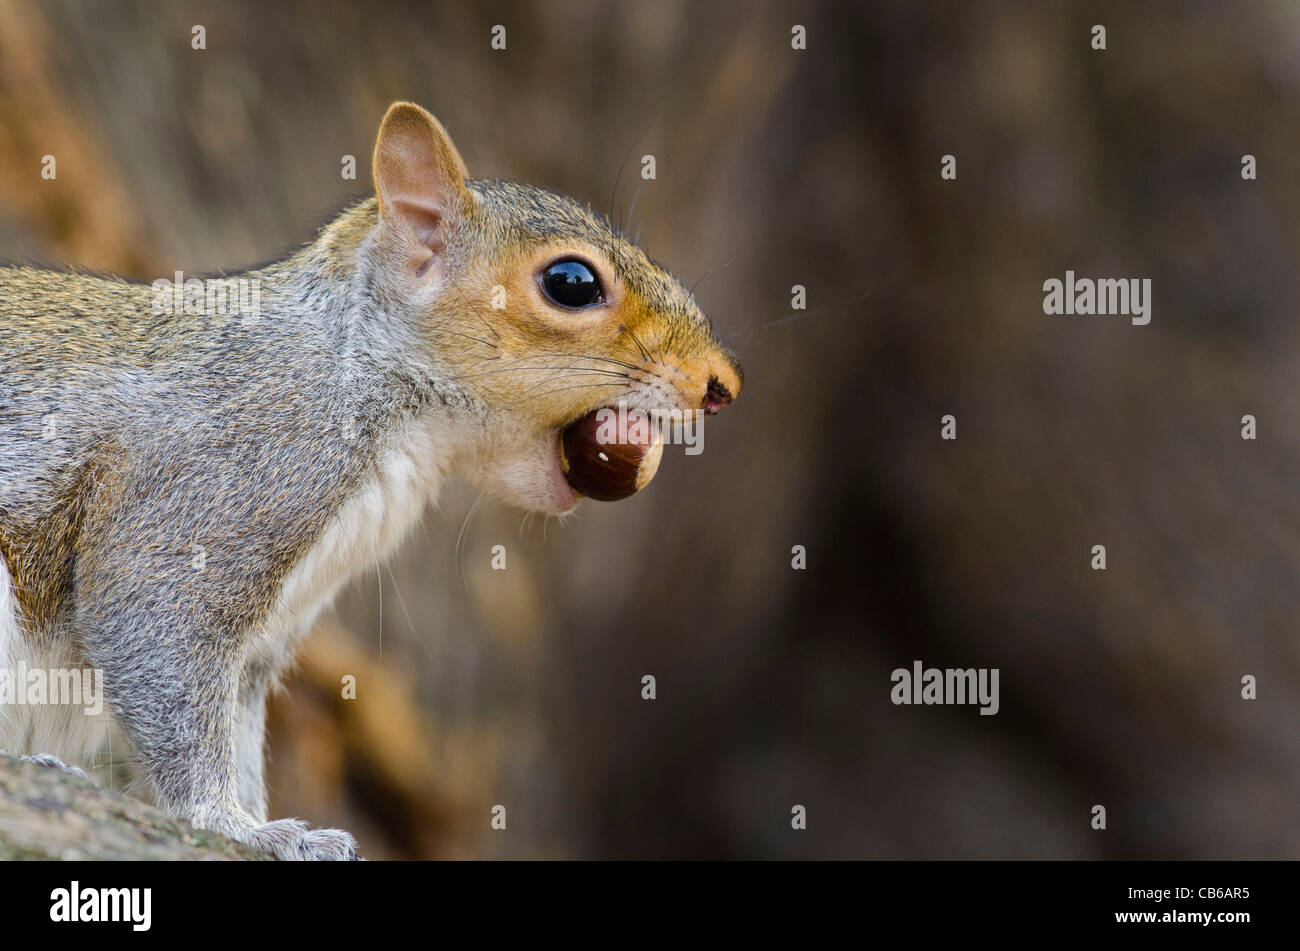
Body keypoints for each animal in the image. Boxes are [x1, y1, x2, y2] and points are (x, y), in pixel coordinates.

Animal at [0, 103, 743, 862]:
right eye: (571, 283)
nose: (723, 387)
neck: (373, 387)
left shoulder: (267, 639)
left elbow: (238, 726)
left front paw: (268, 817)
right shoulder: (215, 482)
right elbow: (156, 636)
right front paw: (235, 823)